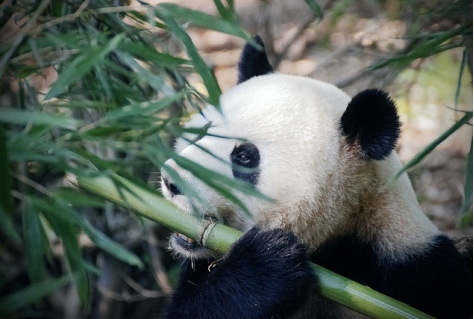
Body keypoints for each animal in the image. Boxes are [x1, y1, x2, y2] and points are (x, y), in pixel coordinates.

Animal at [161, 36, 472, 318]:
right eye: (201, 133)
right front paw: (266, 264)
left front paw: (268, 261)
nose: (171, 181)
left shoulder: (418, 270)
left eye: (244, 157)